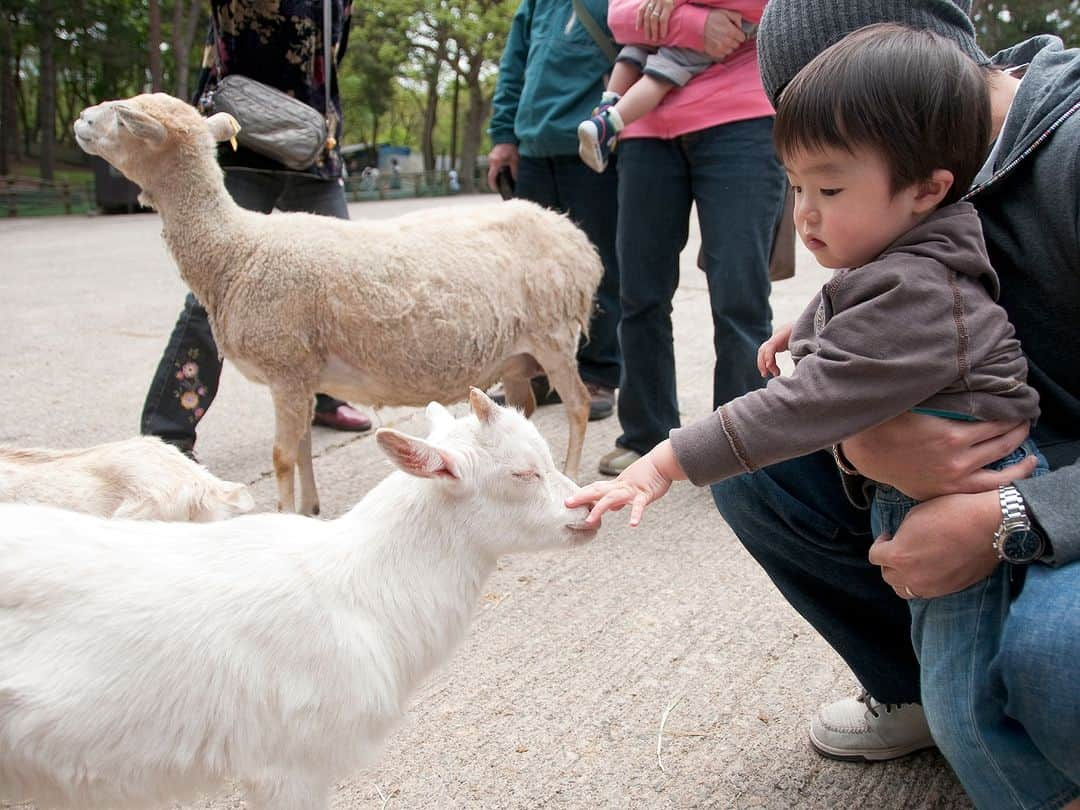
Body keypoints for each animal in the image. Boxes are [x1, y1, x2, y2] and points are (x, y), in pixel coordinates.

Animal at [71, 93, 604, 514]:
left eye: (126, 120)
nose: (80, 118)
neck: (237, 250)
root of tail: (574, 236)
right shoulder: (299, 374)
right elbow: (304, 447)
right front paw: (309, 508)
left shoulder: (284, 364)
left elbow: (282, 456)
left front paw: (284, 513)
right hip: (515, 353)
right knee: (525, 407)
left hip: (553, 333)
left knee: (577, 405)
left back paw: (572, 472)